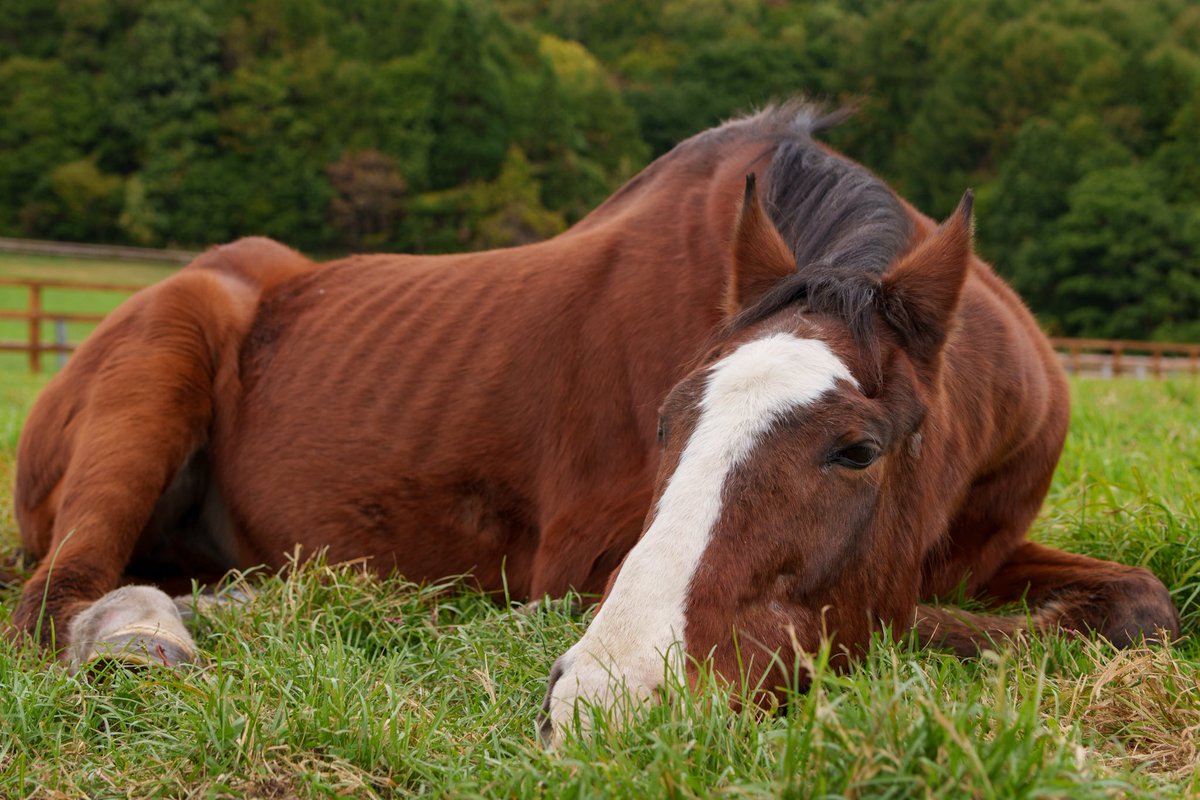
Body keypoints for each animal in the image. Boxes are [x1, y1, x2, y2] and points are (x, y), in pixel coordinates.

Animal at [7, 103, 1177, 742]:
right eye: (666, 424)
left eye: (857, 449)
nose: (614, 700)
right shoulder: (579, 564)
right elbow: (892, 621)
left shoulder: (986, 546)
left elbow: (1140, 606)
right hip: (157, 367)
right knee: (58, 591)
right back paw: (148, 636)